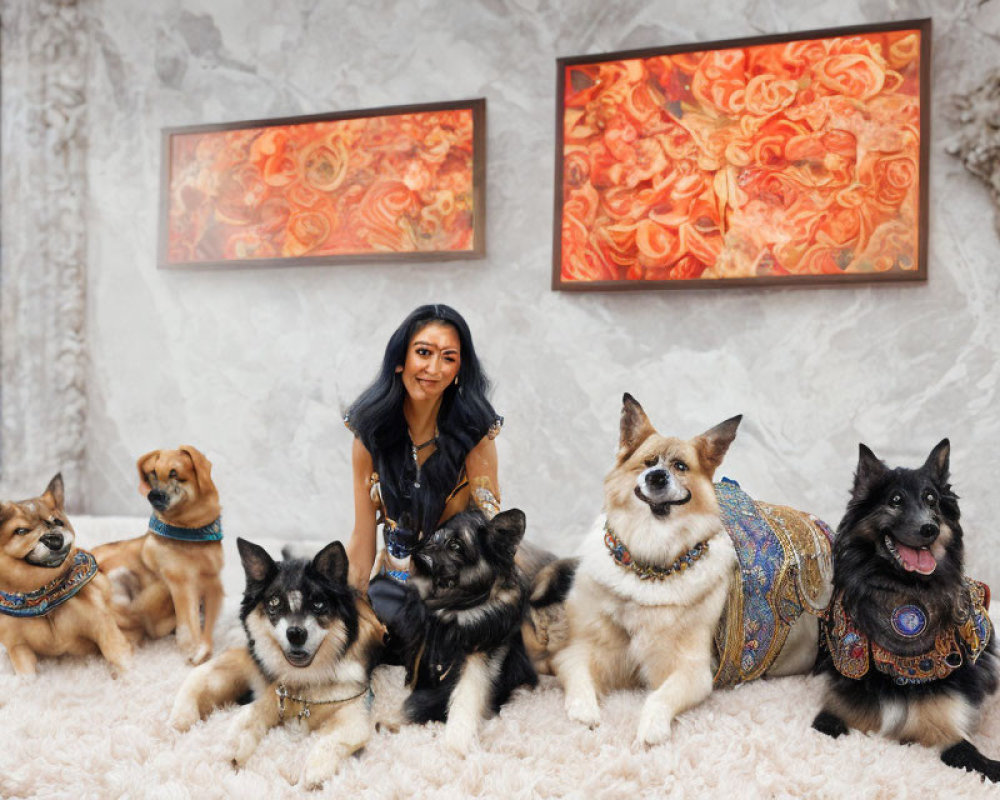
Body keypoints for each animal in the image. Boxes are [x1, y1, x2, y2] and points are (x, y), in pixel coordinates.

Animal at [0, 476, 133, 676]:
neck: (43, 593)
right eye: (21, 531)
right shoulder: (18, 647)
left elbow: (121, 659)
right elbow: (28, 676)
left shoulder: (103, 628)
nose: (55, 540)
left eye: (57, 521)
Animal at [94, 446, 225, 664]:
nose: (153, 495)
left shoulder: (212, 584)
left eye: (174, 473)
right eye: (152, 473)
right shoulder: (180, 584)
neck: (190, 535)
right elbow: (189, 627)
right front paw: (194, 651)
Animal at [396, 510, 540, 752]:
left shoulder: (479, 657)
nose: (416, 556)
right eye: (433, 536)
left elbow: (465, 696)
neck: (455, 607)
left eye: (456, 545)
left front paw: (456, 742)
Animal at [812, 438, 1000, 780]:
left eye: (932, 500)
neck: (907, 591)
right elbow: (830, 724)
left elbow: (970, 754)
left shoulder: (947, 725)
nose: (930, 528)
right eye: (895, 500)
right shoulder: (839, 710)